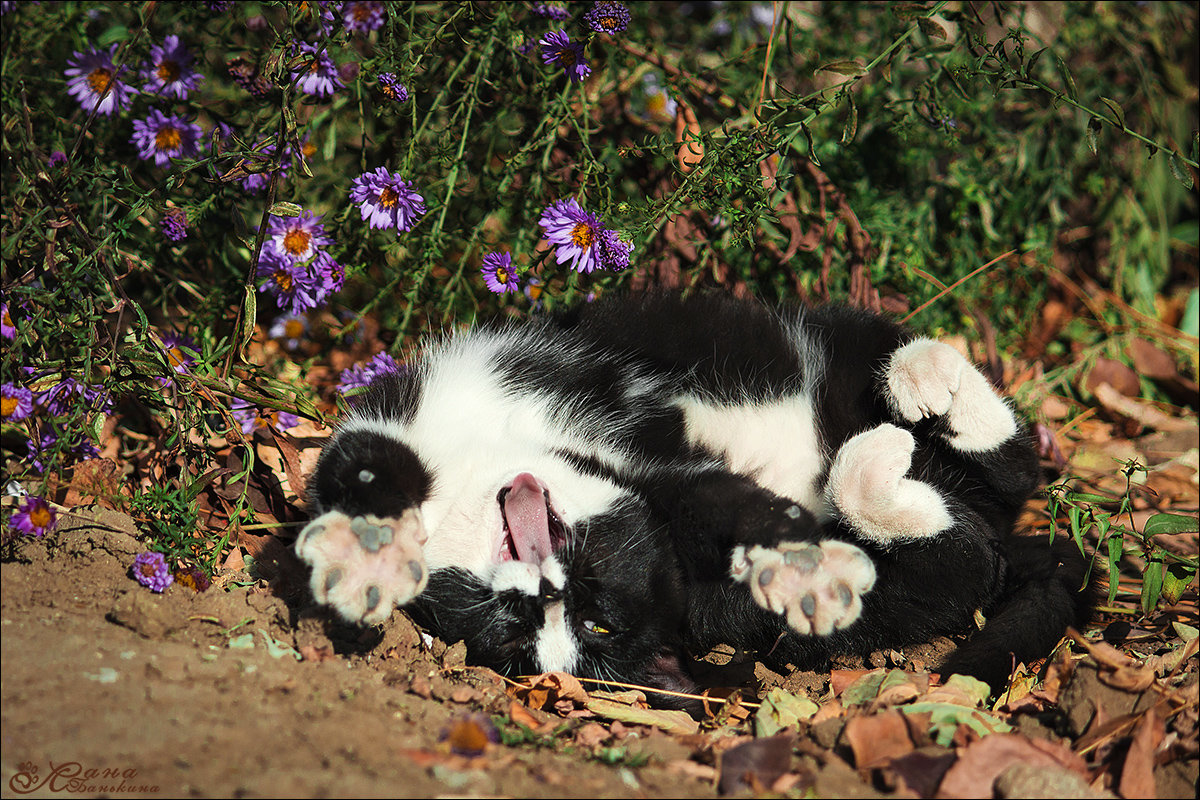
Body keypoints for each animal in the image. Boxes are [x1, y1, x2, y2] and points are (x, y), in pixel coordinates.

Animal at [295, 291, 1094, 705]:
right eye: (515, 627)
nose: (550, 587)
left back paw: (928, 381)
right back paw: (880, 472)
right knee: (960, 558)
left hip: (832, 349)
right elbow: (362, 467)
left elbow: (359, 468)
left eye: (596, 615)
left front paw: (361, 555)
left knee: (1012, 469)